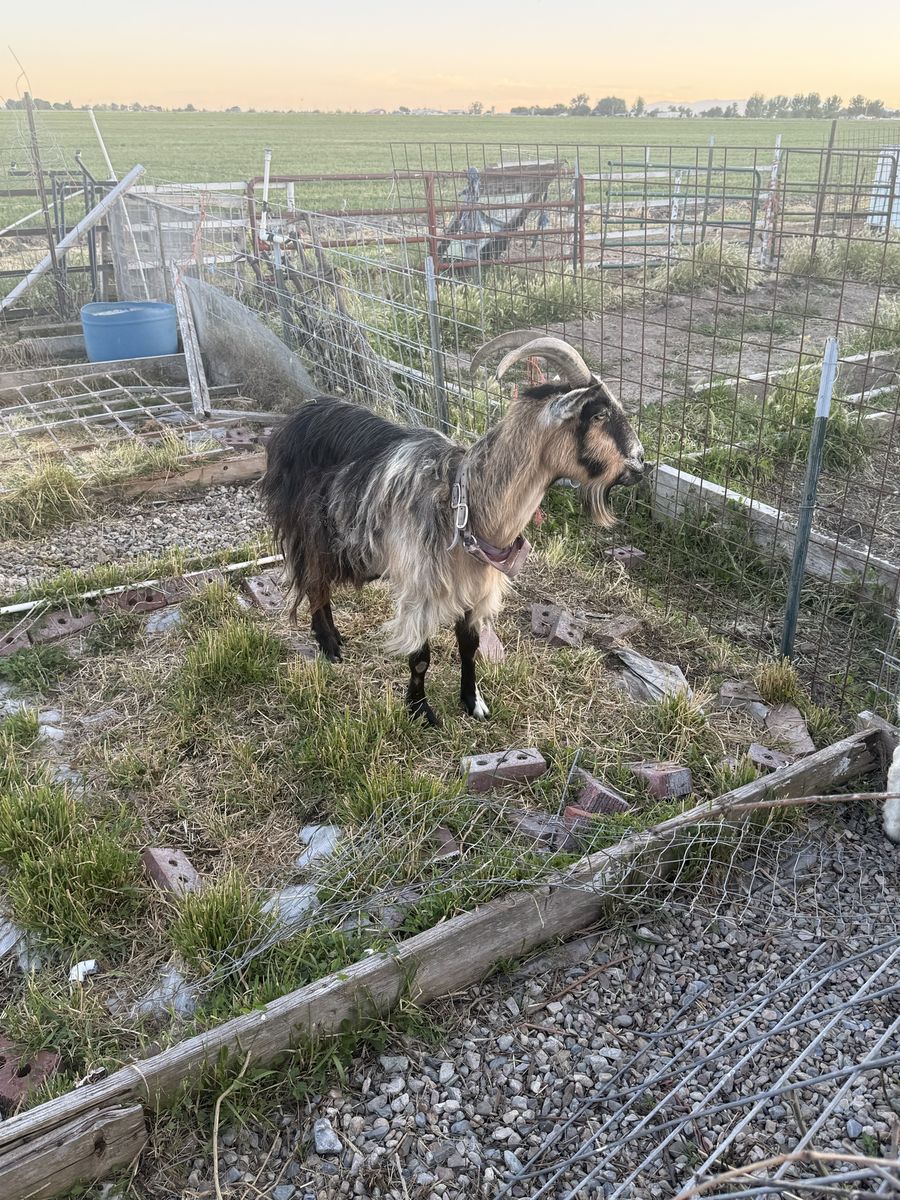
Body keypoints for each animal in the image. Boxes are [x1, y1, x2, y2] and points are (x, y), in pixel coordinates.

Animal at [261, 330, 645, 725]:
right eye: (599, 413)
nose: (641, 462)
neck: (465, 505)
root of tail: (300, 413)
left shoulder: (475, 589)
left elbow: (470, 647)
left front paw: (472, 701)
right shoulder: (420, 587)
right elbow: (420, 657)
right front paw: (420, 711)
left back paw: (335, 638)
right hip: (310, 527)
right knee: (314, 580)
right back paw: (329, 645)